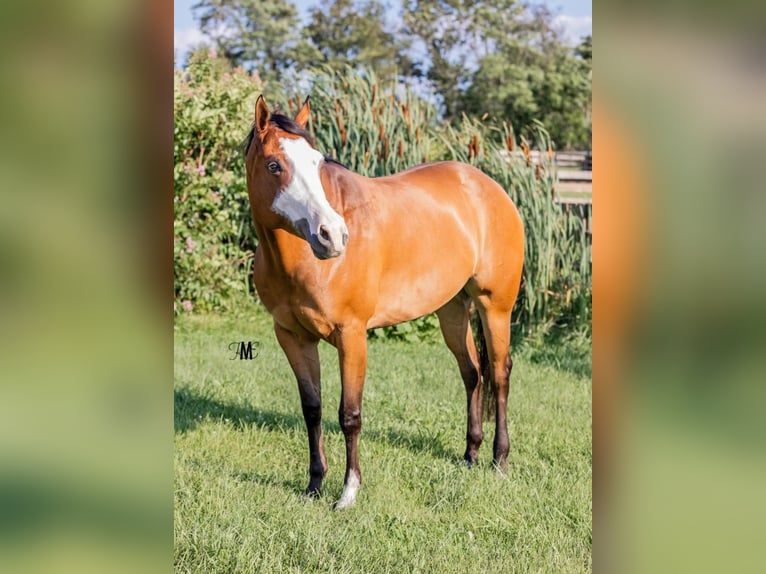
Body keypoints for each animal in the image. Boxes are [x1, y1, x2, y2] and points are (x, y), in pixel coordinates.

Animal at [243, 95, 524, 512]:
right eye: (274, 165)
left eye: (317, 161)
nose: (332, 235)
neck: (304, 261)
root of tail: (488, 187)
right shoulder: (292, 336)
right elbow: (312, 410)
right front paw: (314, 485)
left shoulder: (352, 336)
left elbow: (349, 414)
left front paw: (348, 492)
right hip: (452, 309)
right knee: (472, 372)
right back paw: (470, 455)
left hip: (495, 307)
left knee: (500, 375)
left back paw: (499, 461)